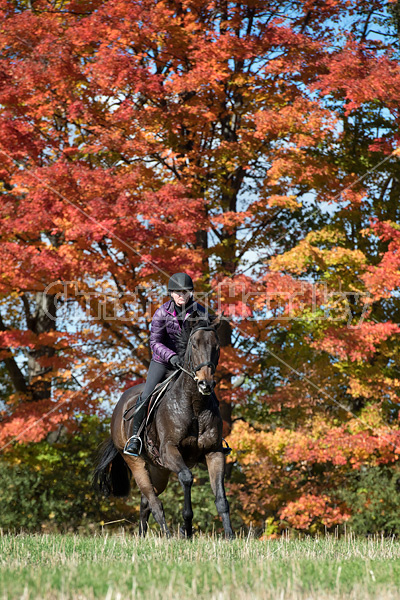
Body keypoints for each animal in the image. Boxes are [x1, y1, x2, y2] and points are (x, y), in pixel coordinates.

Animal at [93, 314, 234, 540]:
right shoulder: (170, 451)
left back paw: (143, 536)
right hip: (137, 463)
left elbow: (221, 497)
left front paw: (229, 535)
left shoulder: (214, 452)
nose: (205, 384)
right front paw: (187, 528)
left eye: (217, 346)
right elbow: (187, 478)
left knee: (145, 502)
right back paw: (167, 535)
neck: (194, 403)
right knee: (153, 501)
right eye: (194, 345)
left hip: (159, 470)